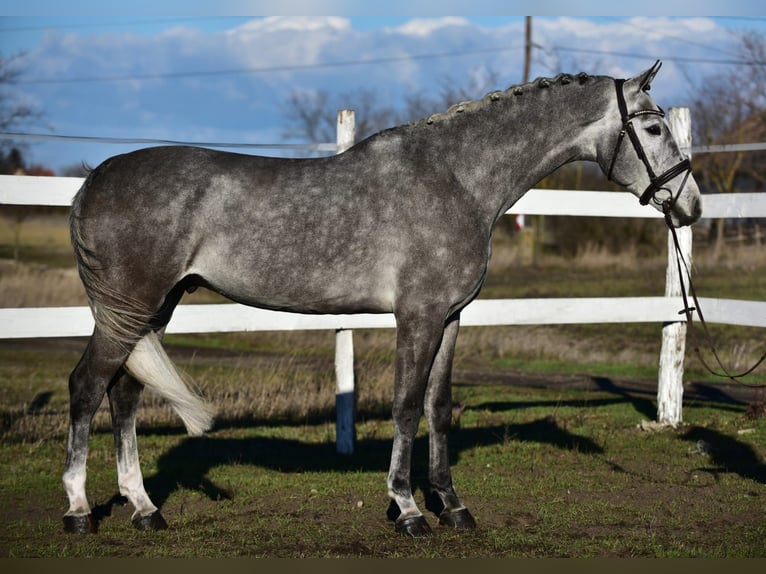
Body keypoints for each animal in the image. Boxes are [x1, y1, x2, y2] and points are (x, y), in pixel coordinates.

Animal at [63, 61, 701, 537]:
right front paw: (409, 508)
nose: (690, 204)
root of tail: (95, 178)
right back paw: (78, 510)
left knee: (123, 394)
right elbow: (406, 405)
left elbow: (438, 409)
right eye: (651, 129)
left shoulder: (450, 318)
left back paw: (145, 509)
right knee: (88, 387)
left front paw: (453, 506)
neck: (457, 179)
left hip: (153, 308)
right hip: (132, 308)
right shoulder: (417, 316)